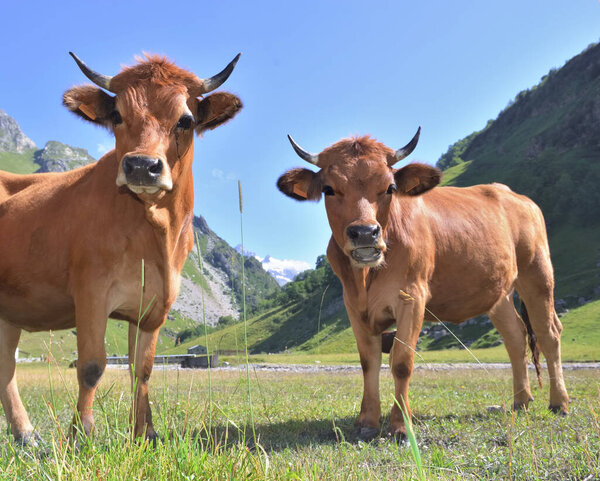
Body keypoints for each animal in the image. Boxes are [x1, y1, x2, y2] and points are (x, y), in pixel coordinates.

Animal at [1, 53, 244, 442]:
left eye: (186, 120)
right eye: (116, 115)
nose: (142, 165)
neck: (154, 236)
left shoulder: (155, 305)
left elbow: (141, 370)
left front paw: (145, 433)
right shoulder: (91, 293)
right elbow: (91, 366)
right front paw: (81, 435)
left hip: (10, 311)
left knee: (5, 366)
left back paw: (25, 434)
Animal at [276, 129, 568, 440]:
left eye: (390, 187)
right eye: (329, 189)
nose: (365, 233)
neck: (367, 278)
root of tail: (517, 196)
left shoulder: (412, 296)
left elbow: (402, 362)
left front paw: (400, 426)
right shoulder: (353, 305)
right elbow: (368, 362)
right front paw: (367, 422)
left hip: (537, 273)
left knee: (548, 333)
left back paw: (559, 403)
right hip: (498, 292)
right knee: (515, 336)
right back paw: (521, 401)